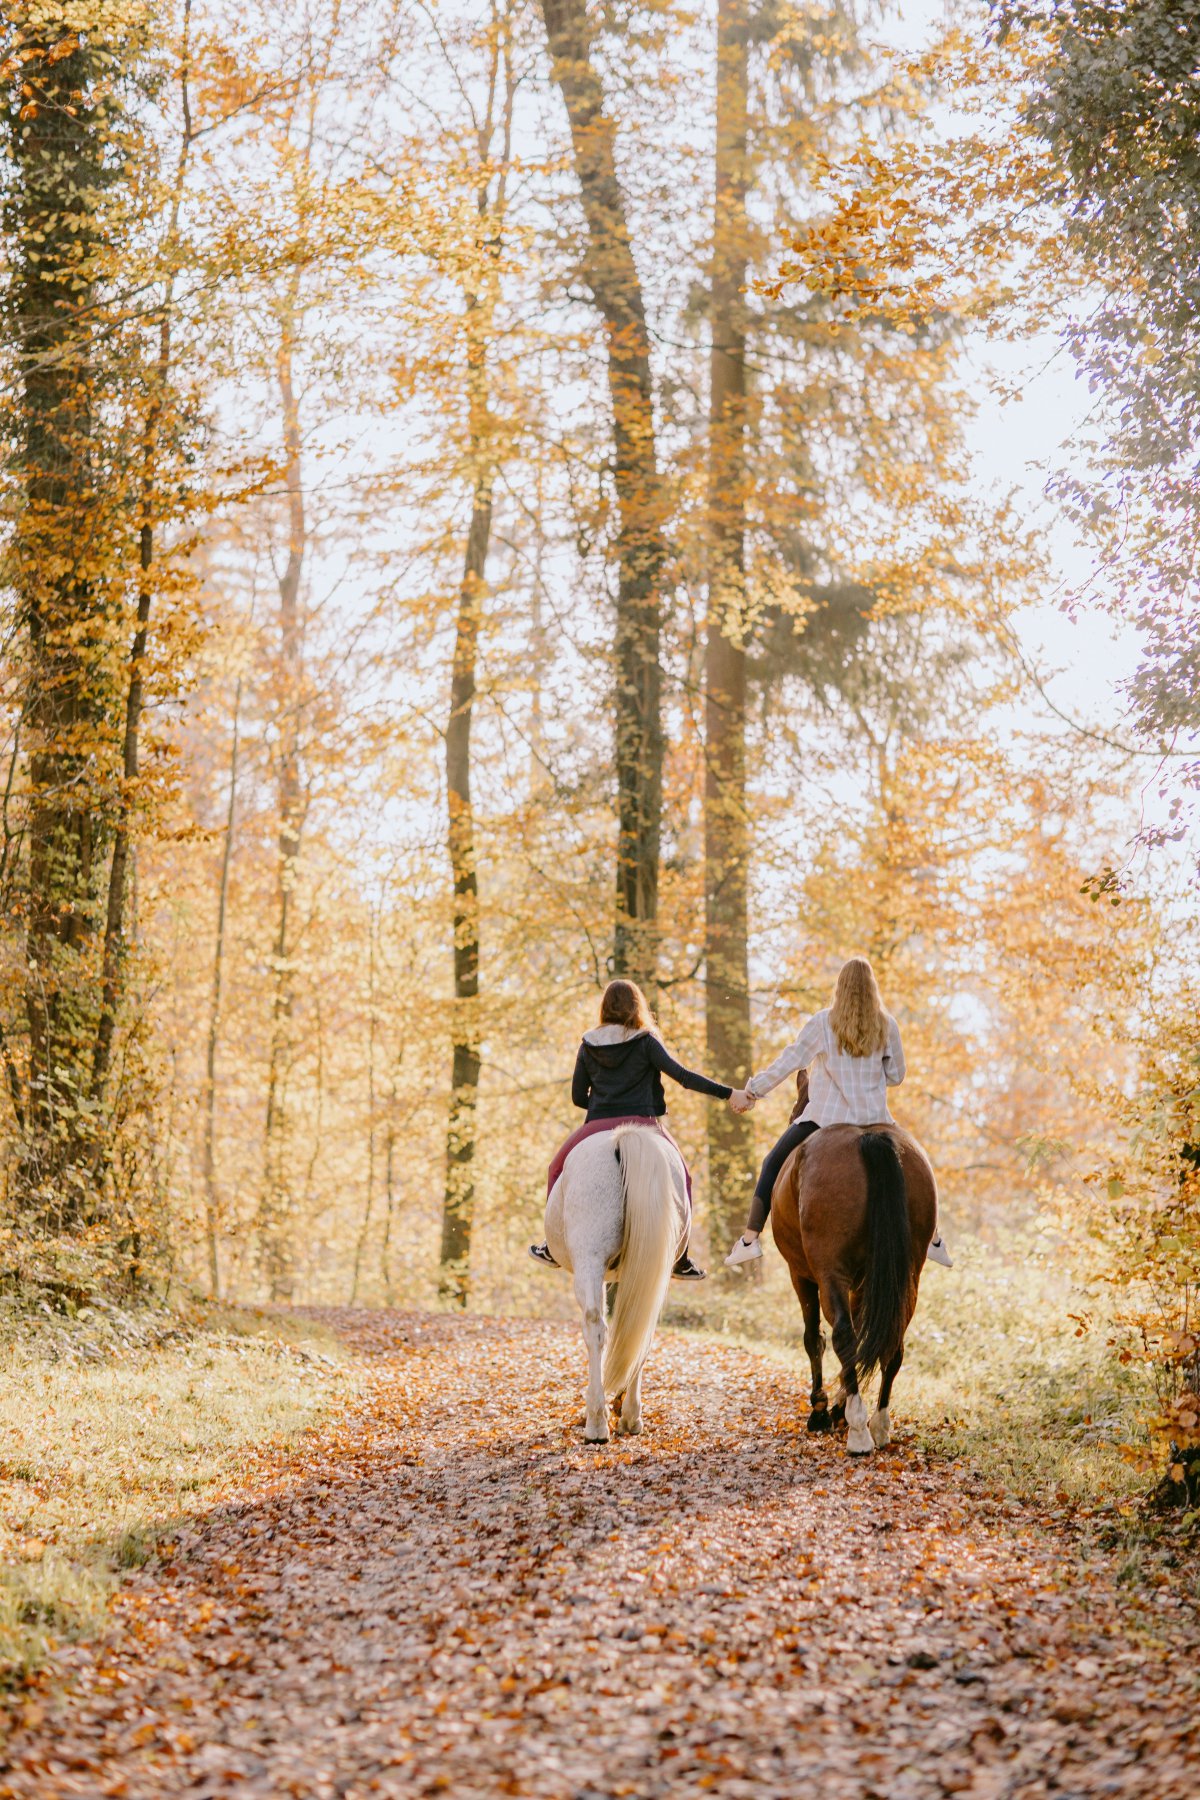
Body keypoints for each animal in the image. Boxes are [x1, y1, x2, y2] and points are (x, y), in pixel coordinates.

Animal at [543, 1130, 683, 1440]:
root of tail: (623, 1137)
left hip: (589, 1260)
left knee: (595, 1328)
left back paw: (597, 1421)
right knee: (642, 1328)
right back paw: (629, 1416)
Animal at [770, 1123, 935, 1447]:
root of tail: (869, 1137)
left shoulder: (801, 1275)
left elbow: (814, 1339)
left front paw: (822, 1411)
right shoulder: (863, 1285)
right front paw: (838, 1408)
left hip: (830, 1273)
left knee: (842, 1337)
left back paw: (858, 1431)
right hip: (906, 1276)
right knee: (891, 1343)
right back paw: (879, 1424)